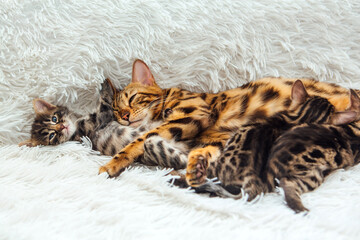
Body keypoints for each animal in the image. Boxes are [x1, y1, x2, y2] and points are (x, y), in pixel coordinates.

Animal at [99, 59, 358, 186]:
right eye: (115, 110)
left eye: (132, 98)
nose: (124, 116)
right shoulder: (217, 139)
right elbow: (201, 152)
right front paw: (195, 168)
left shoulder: (195, 114)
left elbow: (139, 141)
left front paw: (113, 163)